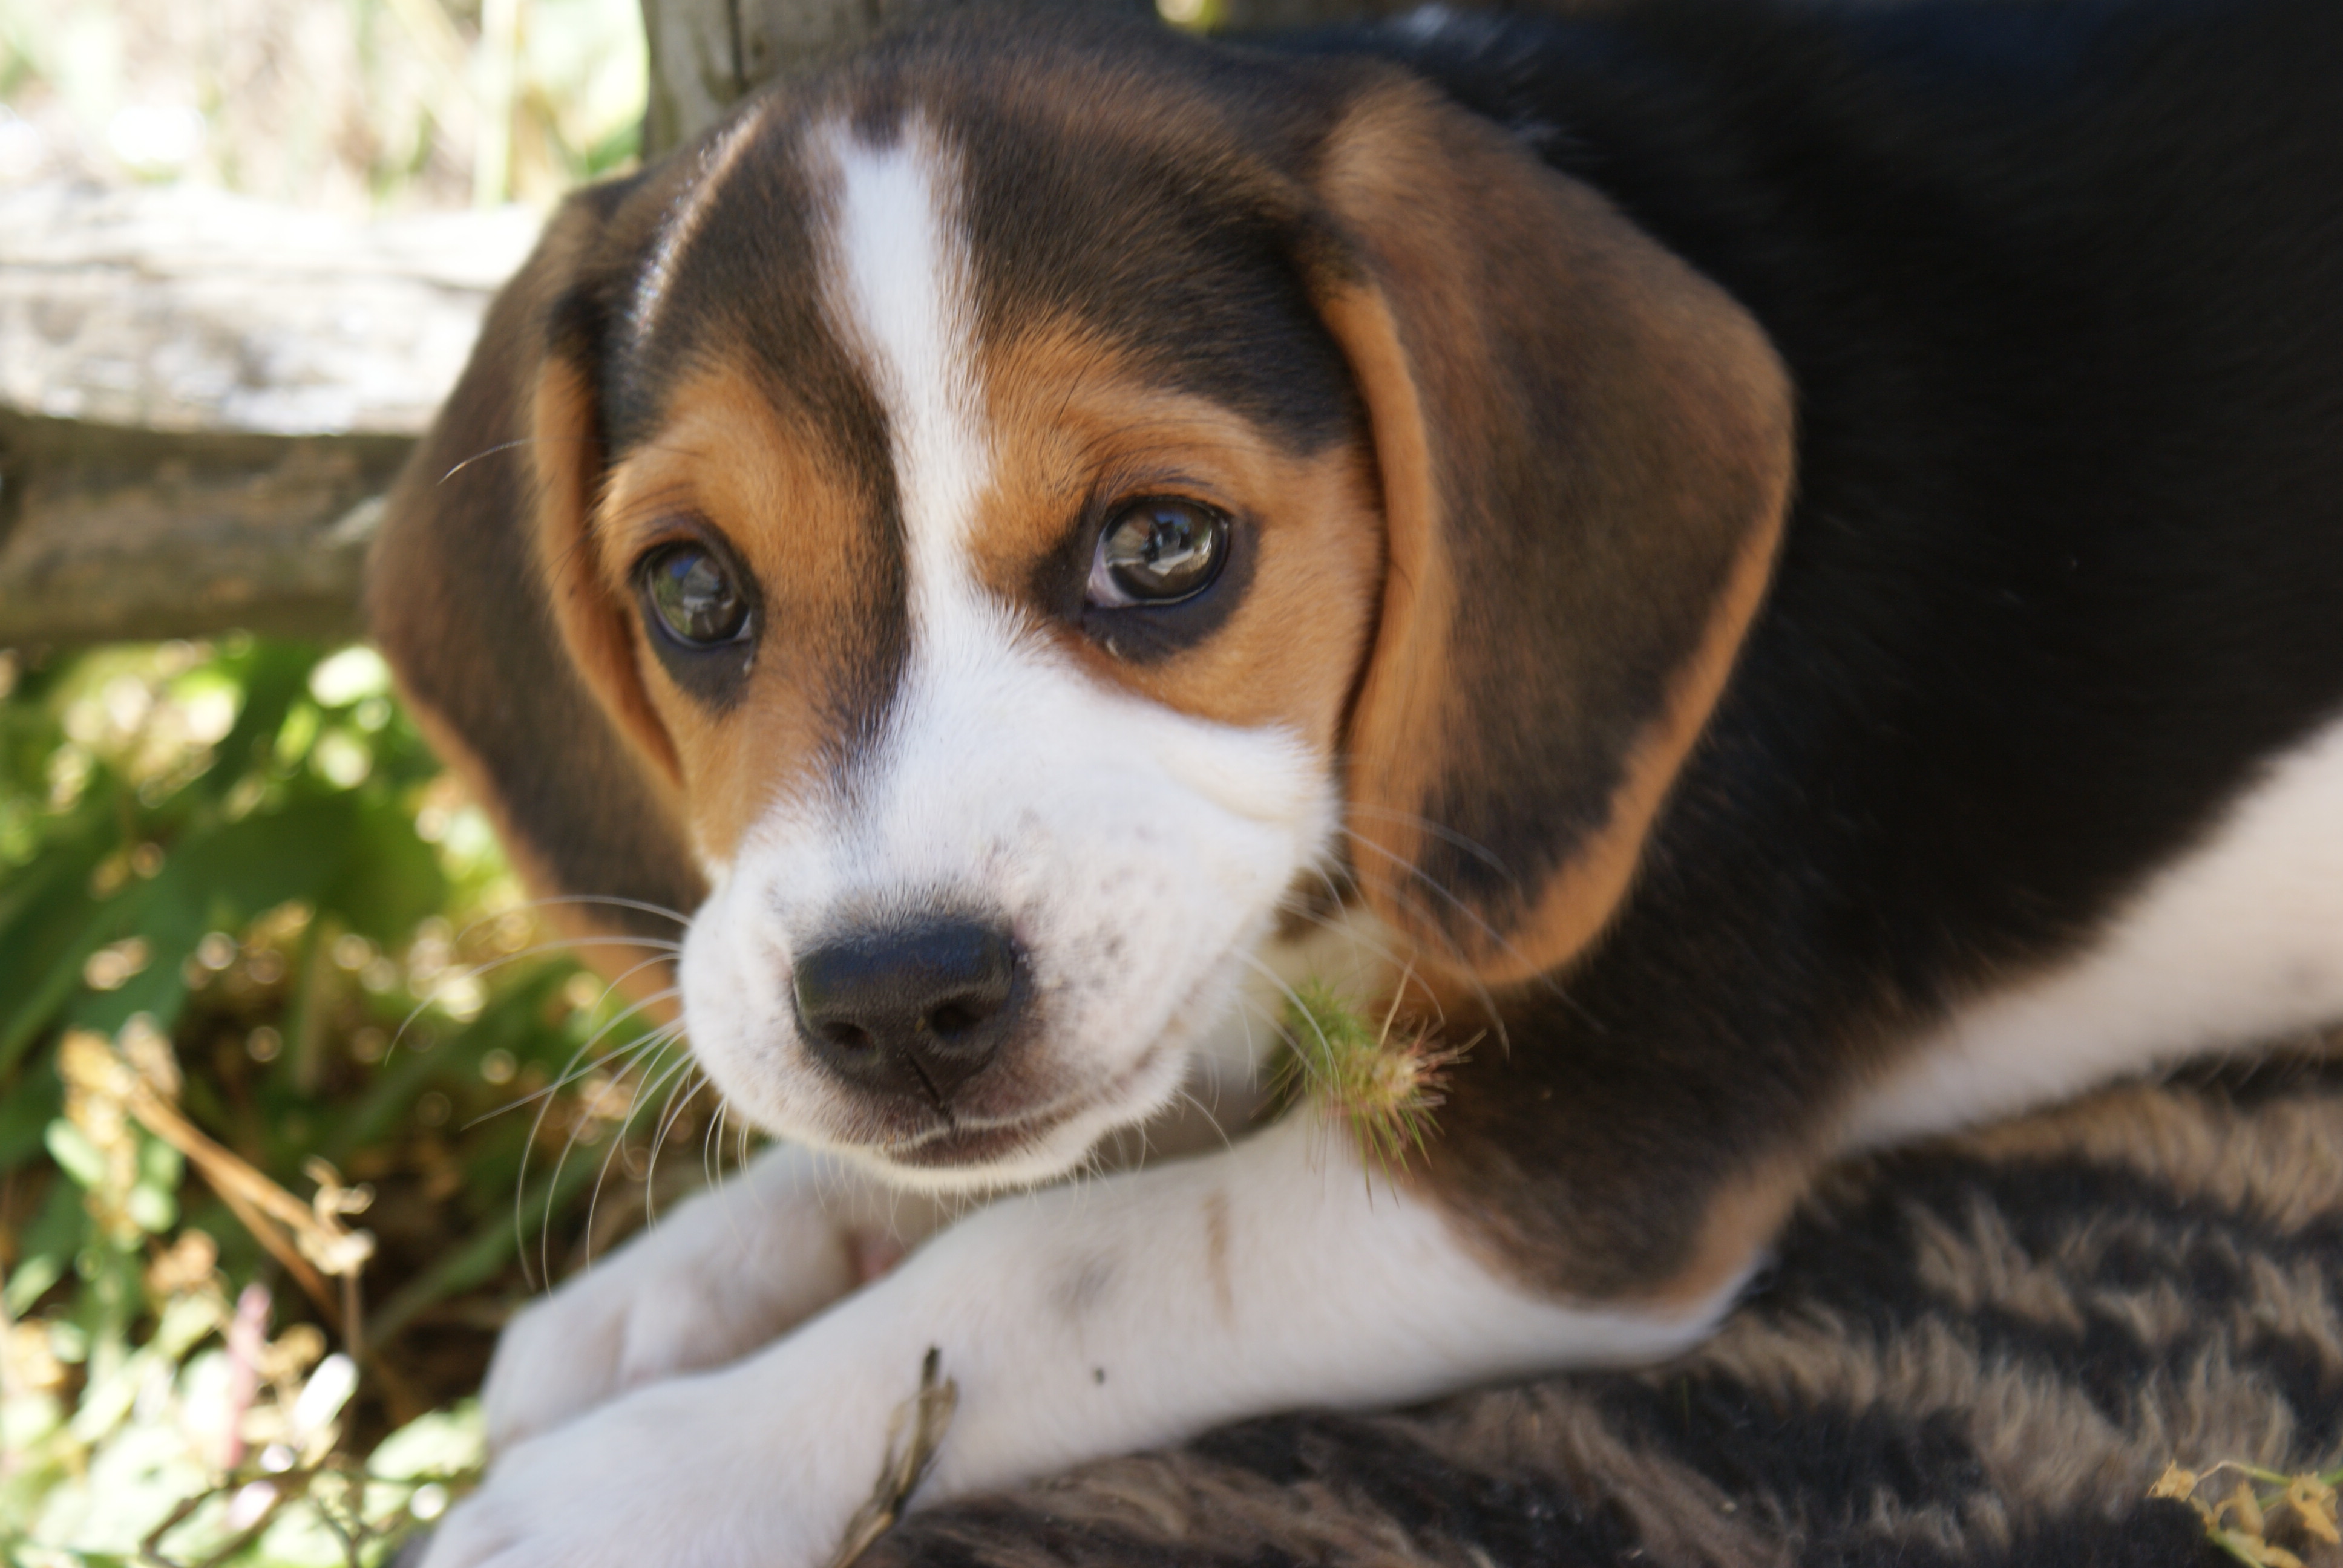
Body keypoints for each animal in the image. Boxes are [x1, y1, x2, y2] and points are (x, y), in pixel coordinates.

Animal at [365, 3, 2343, 1556]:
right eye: (692, 592)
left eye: (1163, 544)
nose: (894, 1000)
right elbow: (991, 1168)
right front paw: (671, 1290)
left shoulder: (1572, 1182)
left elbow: (1052, 1265)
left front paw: (651, 1480)